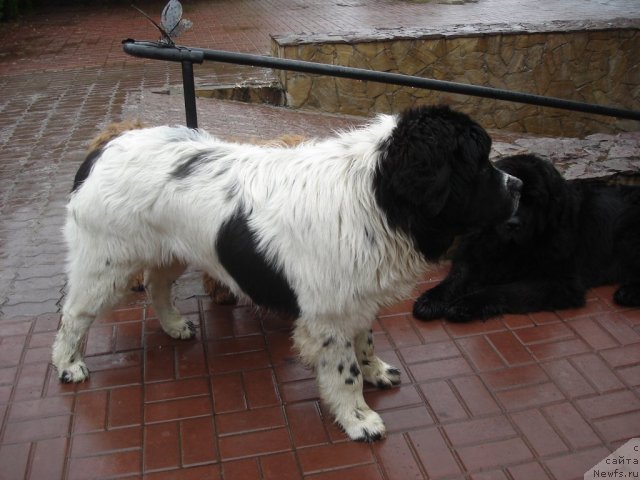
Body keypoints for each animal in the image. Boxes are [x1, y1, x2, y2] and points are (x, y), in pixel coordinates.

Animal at [50, 106, 520, 442]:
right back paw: (69, 364)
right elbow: (344, 370)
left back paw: (174, 326)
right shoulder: (329, 315)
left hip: (171, 248)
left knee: (156, 285)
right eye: (479, 164)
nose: (517, 186)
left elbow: (365, 342)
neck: (375, 195)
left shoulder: (355, 297)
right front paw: (358, 418)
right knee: (73, 315)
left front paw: (376, 371)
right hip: (105, 264)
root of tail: (106, 144)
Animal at [412, 154, 640, 322]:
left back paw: (628, 293)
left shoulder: (560, 281)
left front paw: (465, 304)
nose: (512, 224)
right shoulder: (472, 252)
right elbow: (456, 277)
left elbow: (506, 289)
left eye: (534, 200)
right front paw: (431, 300)